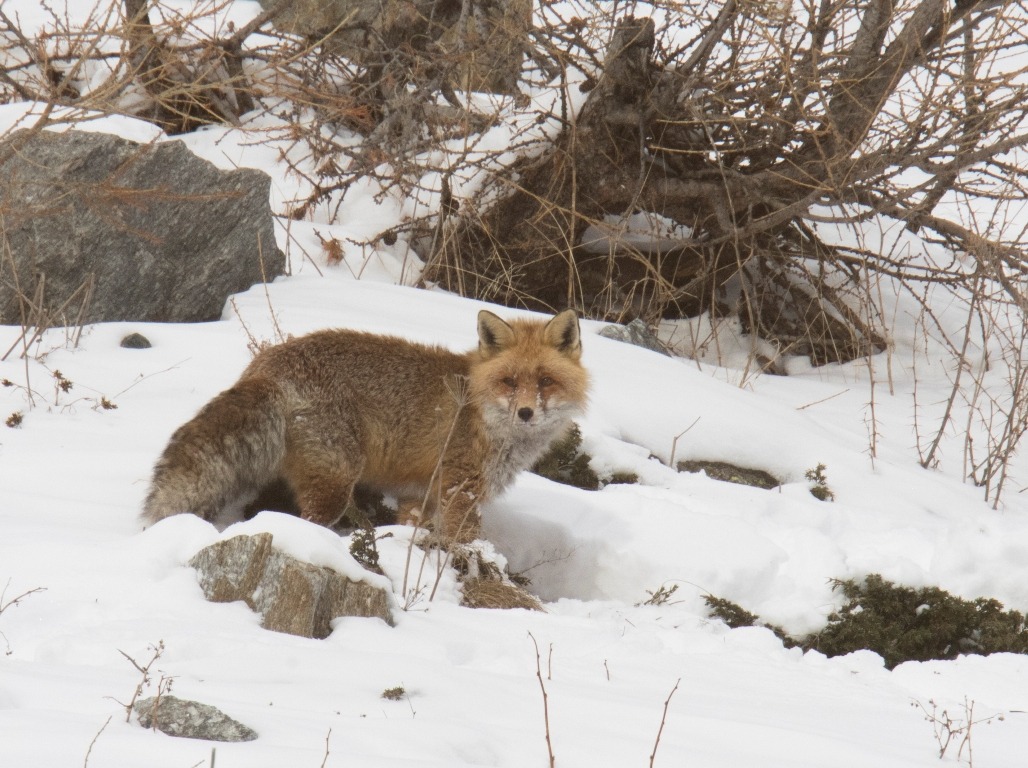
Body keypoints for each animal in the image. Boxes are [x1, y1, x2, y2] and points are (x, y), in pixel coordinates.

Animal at [142, 309, 588, 543]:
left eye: (545, 381)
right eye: (509, 382)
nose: (526, 413)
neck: (479, 411)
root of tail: (267, 365)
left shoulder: (420, 495)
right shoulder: (460, 488)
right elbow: (462, 540)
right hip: (337, 482)